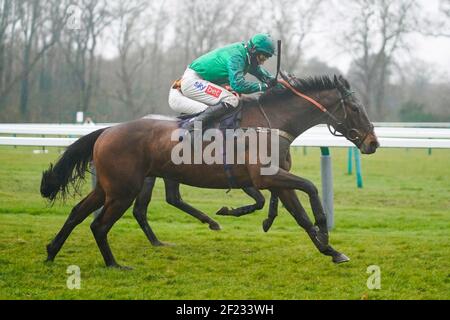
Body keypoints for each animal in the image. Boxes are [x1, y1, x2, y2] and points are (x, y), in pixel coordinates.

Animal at [41, 72, 380, 268]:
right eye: (355, 108)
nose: (373, 142)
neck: (271, 123)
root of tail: (107, 130)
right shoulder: (267, 177)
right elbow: (310, 187)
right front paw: (325, 229)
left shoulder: (276, 182)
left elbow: (299, 216)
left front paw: (331, 250)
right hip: (123, 190)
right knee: (100, 225)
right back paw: (114, 264)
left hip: (109, 187)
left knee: (77, 213)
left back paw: (51, 251)